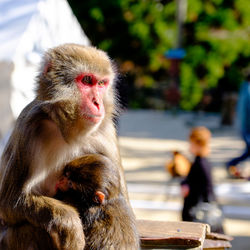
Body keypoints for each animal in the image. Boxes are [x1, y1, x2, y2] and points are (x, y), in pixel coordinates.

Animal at [0, 44, 130, 249]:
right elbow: (8, 202)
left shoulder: (106, 132)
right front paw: (69, 224)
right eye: (87, 80)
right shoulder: (30, 125)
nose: (98, 103)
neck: (70, 134)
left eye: (101, 84)